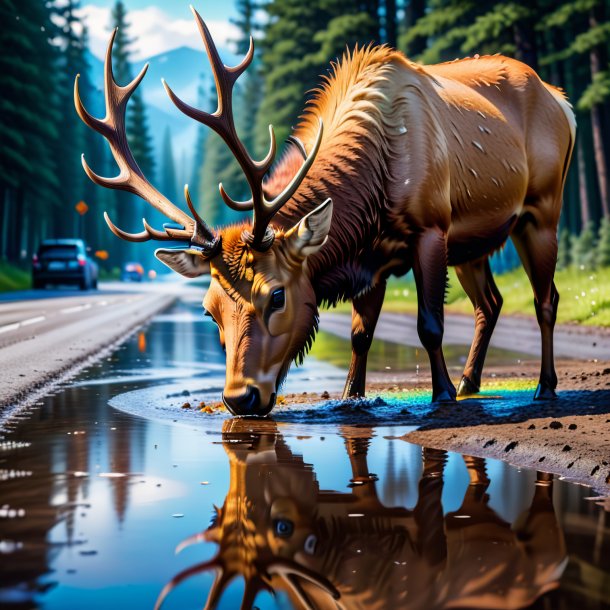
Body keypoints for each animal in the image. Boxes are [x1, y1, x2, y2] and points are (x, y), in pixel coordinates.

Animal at [73, 5, 572, 414]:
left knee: (546, 299)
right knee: (492, 302)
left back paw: (543, 387)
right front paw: (354, 395)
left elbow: (429, 323)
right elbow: (359, 333)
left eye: (276, 295)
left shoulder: (430, 228)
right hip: (472, 243)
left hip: (542, 211)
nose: (239, 398)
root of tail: (561, 99)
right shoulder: (373, 257)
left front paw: (442, 394)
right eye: (209, 310)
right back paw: (472, 382)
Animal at [153, 418, 564, 608]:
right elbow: (361, 472)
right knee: (478, 495)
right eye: (216, 518)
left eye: (283, 526)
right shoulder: (365, 504)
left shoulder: (429, 548)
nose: (236, 431)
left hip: (543, 539)